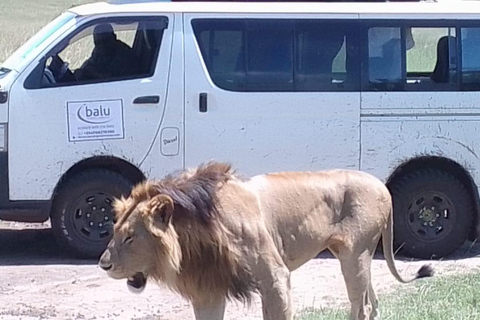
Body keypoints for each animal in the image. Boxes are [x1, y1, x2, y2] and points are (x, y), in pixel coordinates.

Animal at [98, 162, 436, 320]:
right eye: (114, 231)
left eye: (130, 237)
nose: (103, 265)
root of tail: (383, 186)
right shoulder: (209, 288)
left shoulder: (274, 276)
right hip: (355, 255)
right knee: (371, 297)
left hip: (354, 254)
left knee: (359, 305)